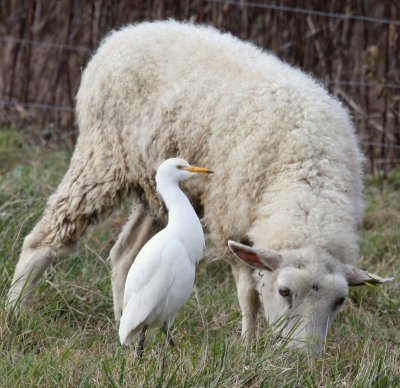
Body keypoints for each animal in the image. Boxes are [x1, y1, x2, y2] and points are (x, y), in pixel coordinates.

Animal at [7, 19, 392, 350]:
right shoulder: (231, 217)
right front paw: (249, 346)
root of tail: (124, 34)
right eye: (284, 292)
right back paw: (14, 311)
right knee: (44, 239)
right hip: (102, 157)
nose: (304, 359)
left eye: (339, 301)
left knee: (125, 254)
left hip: (156, 188)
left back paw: (122, 322)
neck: (308, 172)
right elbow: (248, 294)